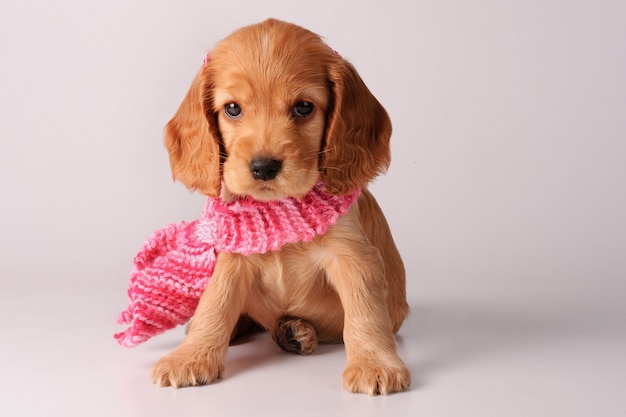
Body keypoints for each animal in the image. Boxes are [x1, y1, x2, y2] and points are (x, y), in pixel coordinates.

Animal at [149, 17, 408, 394]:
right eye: (232, 108)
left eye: (303, 107)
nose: (263, 167)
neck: (278, 209)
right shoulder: (233, 258)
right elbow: (216, 304)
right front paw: (191, 356)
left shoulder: (353, 256)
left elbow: (365, 312)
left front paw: (374, 364)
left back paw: (295, 331)